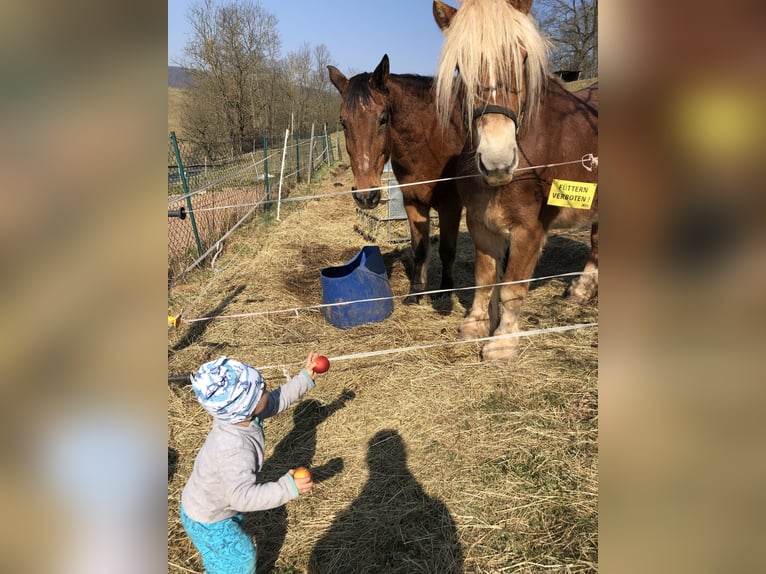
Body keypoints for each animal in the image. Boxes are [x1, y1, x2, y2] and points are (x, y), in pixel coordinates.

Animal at [328, 54, 464, 306]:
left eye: (383, 119)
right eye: (343, 123)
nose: (366, 196)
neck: (434, 137)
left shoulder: (451, 205)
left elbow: (447, 251)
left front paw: (444, 291)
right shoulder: (413, 202)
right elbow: (419, 249)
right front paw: (415, 293)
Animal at [432, 0, 600, 360]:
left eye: (522, 58)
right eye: (460, 67)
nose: (497, 161)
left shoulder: (528, 229)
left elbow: (511, 288)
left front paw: (503, 342)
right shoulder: (480, 222)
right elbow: (484, 278)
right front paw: (476, 324)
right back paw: (581, 290)